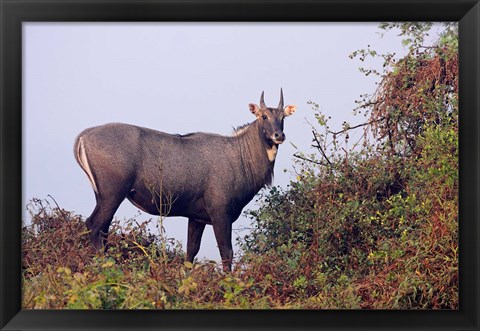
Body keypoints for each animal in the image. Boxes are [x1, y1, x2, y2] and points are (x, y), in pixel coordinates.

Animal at [74, 89, 296, 272]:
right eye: (264, 116)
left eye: (282, 117)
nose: (279, 135)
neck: (240, 156)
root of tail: (82, 138)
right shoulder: (220, 213)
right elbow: (226, 253)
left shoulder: (197, 217)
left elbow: (191, 252)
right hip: (112, 193)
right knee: (95, 225)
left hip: (102, 195)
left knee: (101, 229)